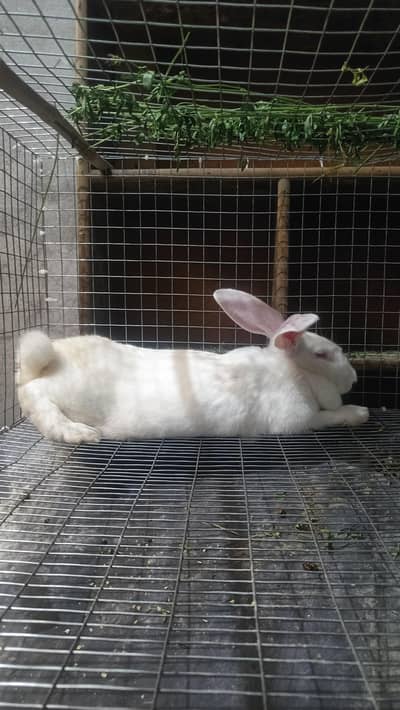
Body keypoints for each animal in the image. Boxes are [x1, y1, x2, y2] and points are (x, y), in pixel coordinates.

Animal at [16, 289, 369, 443]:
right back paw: (78, 433)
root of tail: (50, 359)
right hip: (68, 393)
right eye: (323, 355)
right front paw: (359, 412)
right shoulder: (297, 420)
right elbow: (329, 417)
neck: (293, 373)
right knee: (35, 395)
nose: (354, 378)